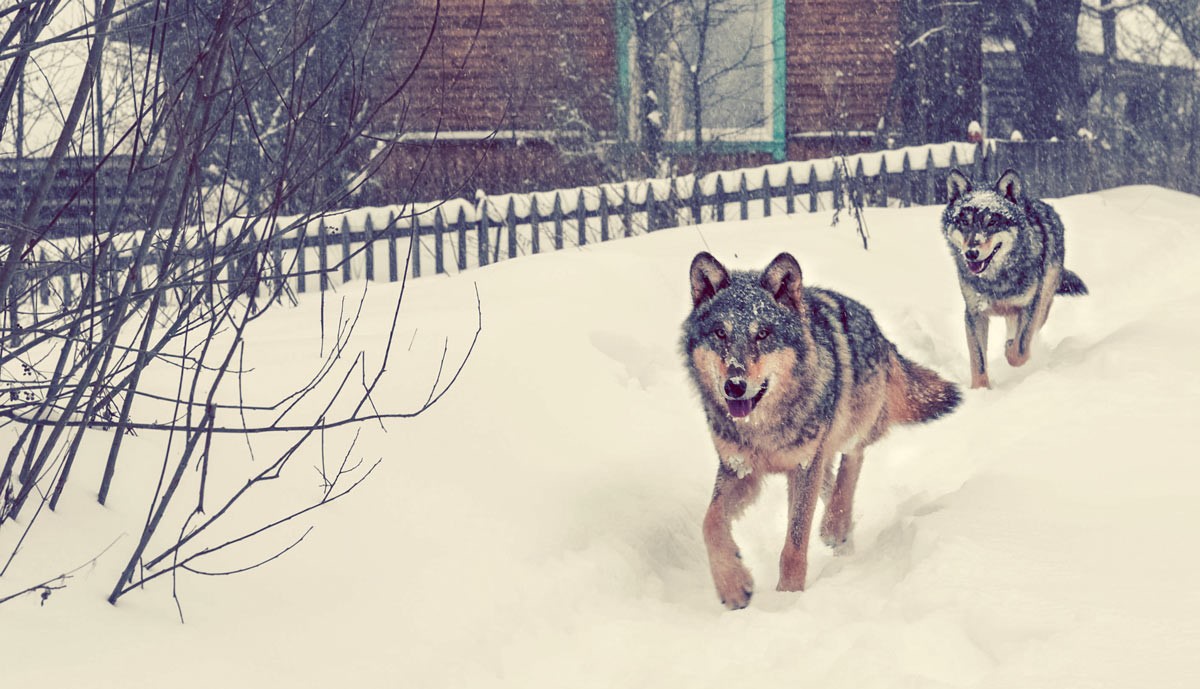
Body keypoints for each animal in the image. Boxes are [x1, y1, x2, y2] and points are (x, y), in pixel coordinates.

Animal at [681, 252, 961, 610]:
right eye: (720, 333)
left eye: (763, 334)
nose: (735, 385)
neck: (765, 428)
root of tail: (880, 331)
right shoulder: (739, 469)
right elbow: (711, 522)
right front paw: (733, 586)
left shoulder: (803, 467)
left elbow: (795, 541)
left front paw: (788, 598)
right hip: (820, 459)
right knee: (832, 480)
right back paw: (842, 534)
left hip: (849, 427)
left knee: (852, 461)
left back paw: (835, 525)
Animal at [942, 169, 1088, 389]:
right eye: (965, 222)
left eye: (992, 222)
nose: (971, 253)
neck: (997, 280)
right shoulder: (974, 313)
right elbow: (978, 360)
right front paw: (980, 390)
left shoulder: (1030, 306)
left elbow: (1020, 350)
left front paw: (1010, 349)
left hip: (1043, 303)